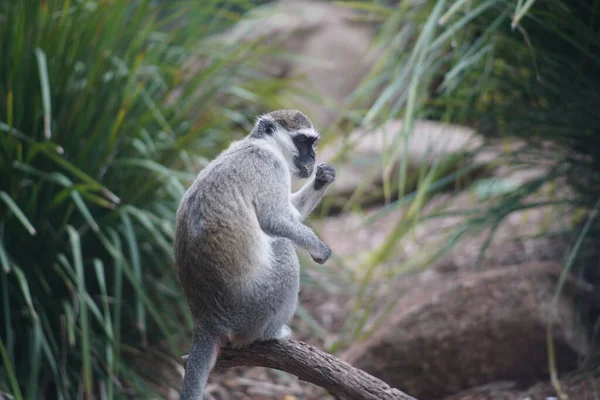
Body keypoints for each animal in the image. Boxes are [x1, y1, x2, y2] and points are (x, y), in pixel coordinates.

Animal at [175, 108, 338, 398]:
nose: (312, 157)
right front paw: (318, 248)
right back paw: (271, 333)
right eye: (302, 142)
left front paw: (323, 178)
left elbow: (291, 211)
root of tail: (207, 319)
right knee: (283, 247)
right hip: (252, 308)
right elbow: (274, 219)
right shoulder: (269, 167)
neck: (263, 144)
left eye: (313, 144)